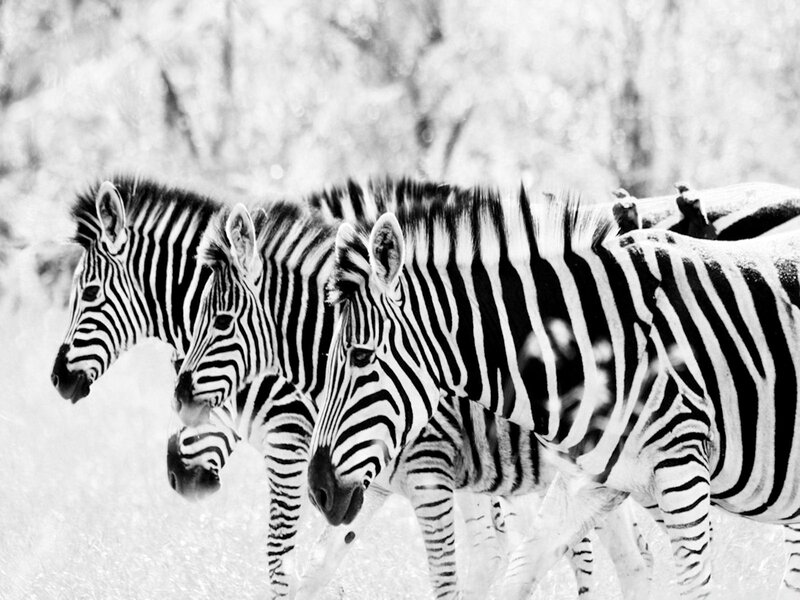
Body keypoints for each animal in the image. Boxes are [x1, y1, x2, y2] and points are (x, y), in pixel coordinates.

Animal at [171, 198, 654, 599]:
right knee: (631, 561)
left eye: (221, 321)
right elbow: (316, 569)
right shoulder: (372, 486)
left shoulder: (433, 474)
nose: (180, 398)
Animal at [308, 184, 800, 599]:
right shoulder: (588, 483)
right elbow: (518, 575)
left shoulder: (682, 470)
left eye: (360, 357)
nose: (318, 491)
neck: (599, 341)